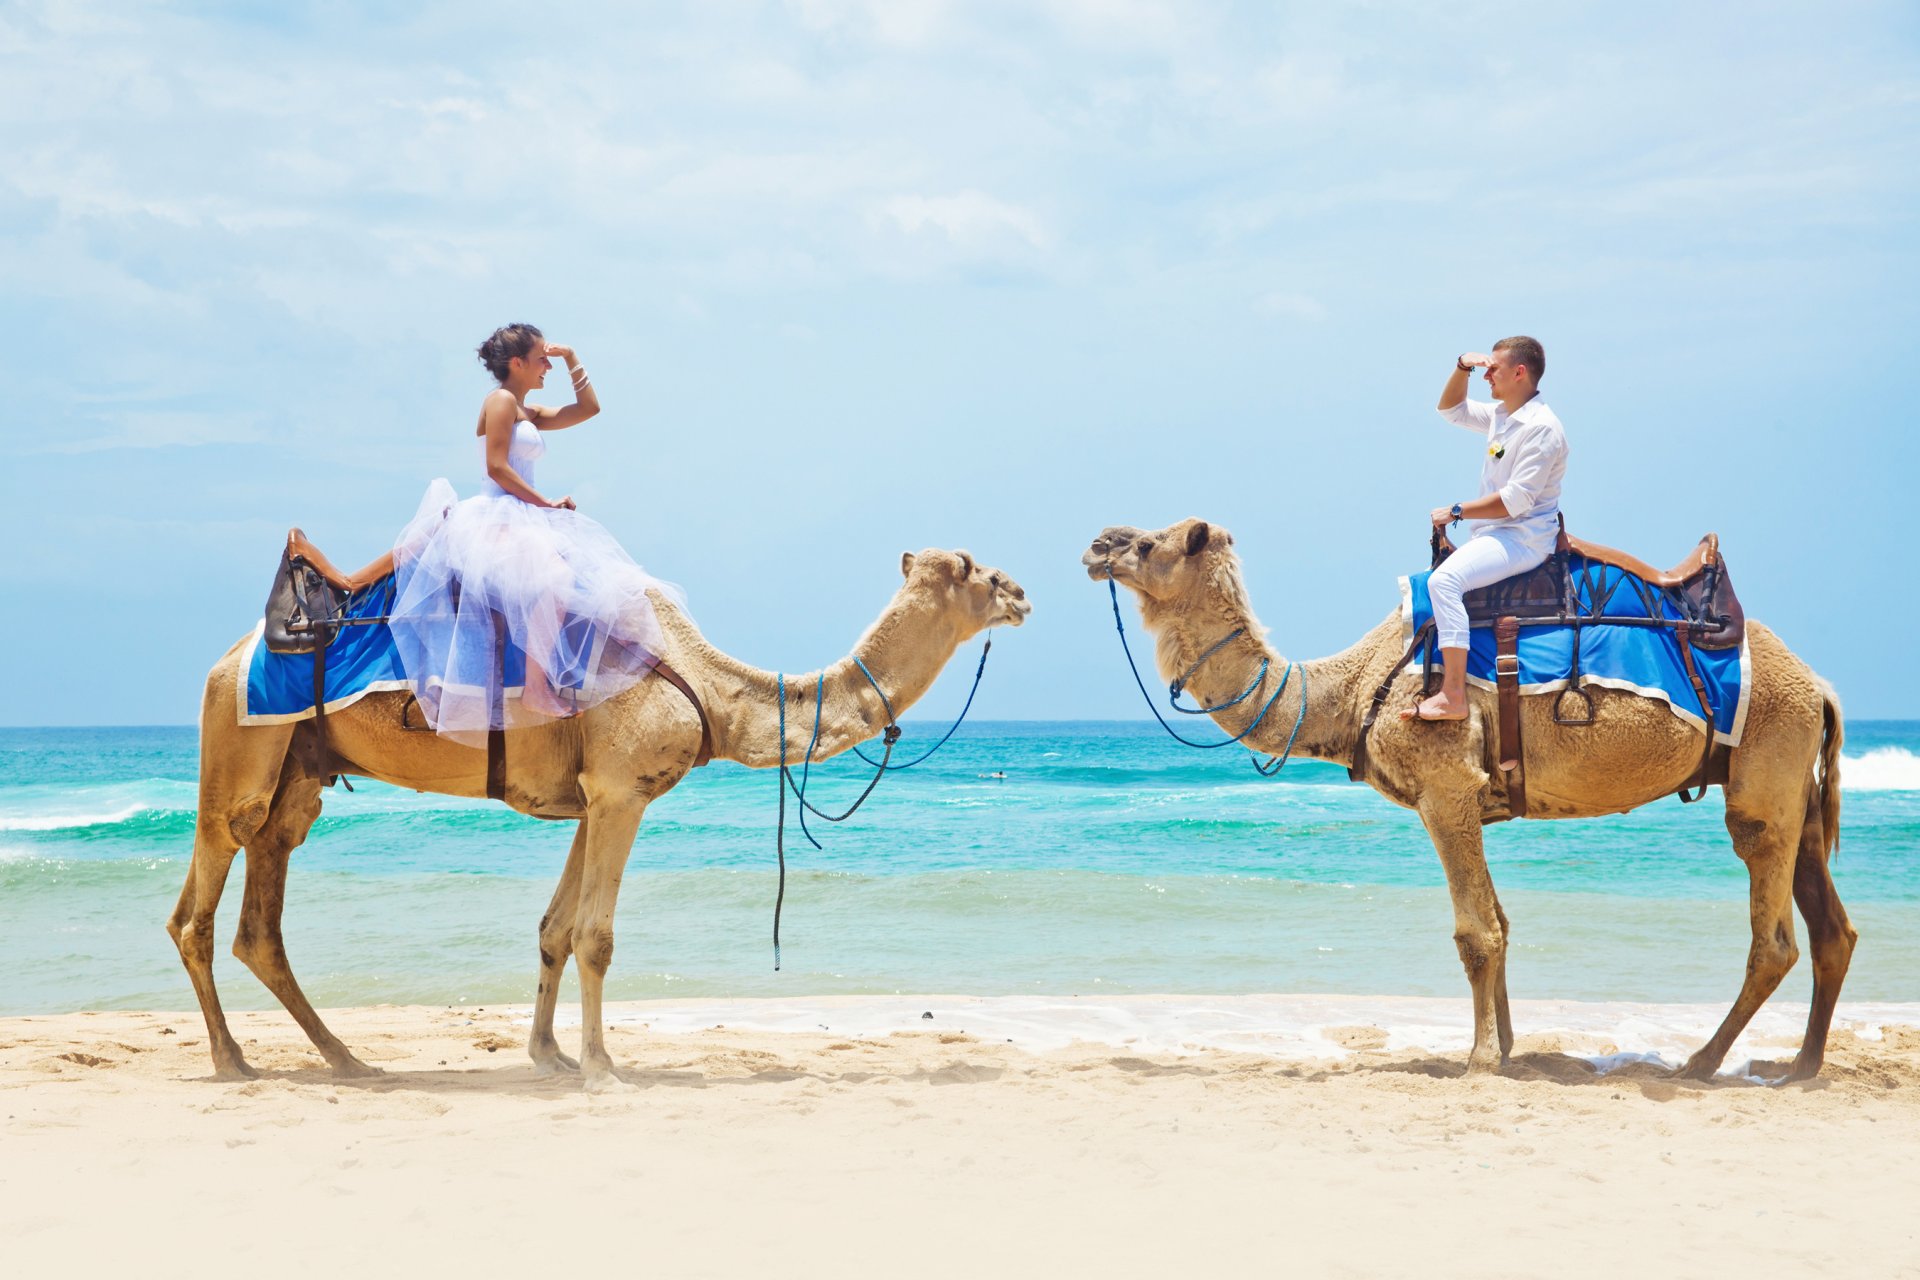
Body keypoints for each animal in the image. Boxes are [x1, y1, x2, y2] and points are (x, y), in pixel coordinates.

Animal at [172, 549, 1030, 1089]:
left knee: (261, 920)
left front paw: (548, 1056)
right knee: (198, 912)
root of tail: (226, 658)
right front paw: (599, 1069)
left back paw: (348, 1060)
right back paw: (232, 1061)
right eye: (972, 569)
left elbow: (554, 928)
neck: (709, 688)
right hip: (238, 746)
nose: (1021, 592)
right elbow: (595, 936)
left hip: (297, 774)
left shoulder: (592, 797)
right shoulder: (622, 792)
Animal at [1084, 517, 1852, 1080]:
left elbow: (1475, 933)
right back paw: (1801, 1066)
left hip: (1767, 760)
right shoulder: (1469, 796)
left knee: (1772, 935)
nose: (1097, 544)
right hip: (1798, 786)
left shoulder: (1446, 787)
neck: (1351, 688)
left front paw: (1479, 1059)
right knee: (1831, 931)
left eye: (1147, 543)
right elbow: (1501, 924)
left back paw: (1701, 1063)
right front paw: (1507, 1049)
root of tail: (1819, 684)